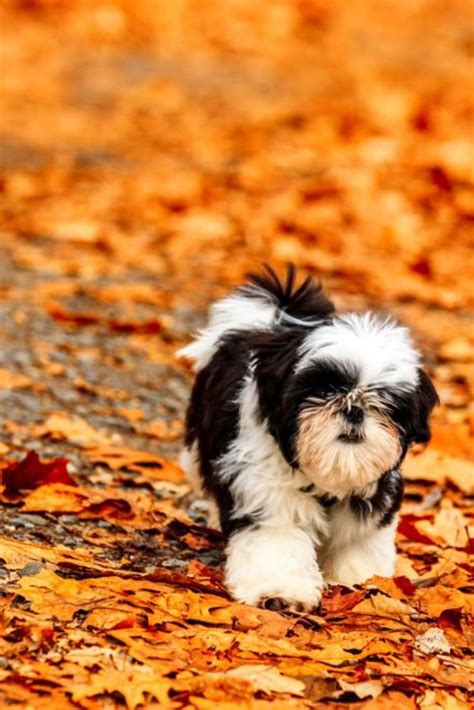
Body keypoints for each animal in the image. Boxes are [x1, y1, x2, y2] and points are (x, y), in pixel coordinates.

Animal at [178, 268, 436, 612]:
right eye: (324, 390)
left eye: (386, 400)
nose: (354, 409)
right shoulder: (266, 492)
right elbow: (276, 541)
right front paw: (279, 591)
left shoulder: (375, 499)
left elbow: (360, 543)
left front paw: (359, 580)